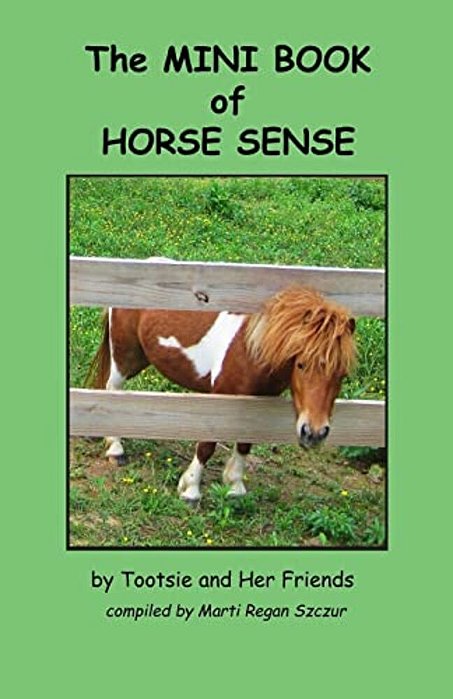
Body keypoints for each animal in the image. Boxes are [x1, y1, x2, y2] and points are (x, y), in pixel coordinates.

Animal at [86, 284, 356, 502]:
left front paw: (235, 486)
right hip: (125, 358)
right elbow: (207, 445)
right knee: (112, 391)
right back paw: (116, 449)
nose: (314, 433)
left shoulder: (257, 403)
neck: (250, 351)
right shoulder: (219, 400)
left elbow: (245, 443)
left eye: (342, 373)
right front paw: (190, 490)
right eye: (301, 364)